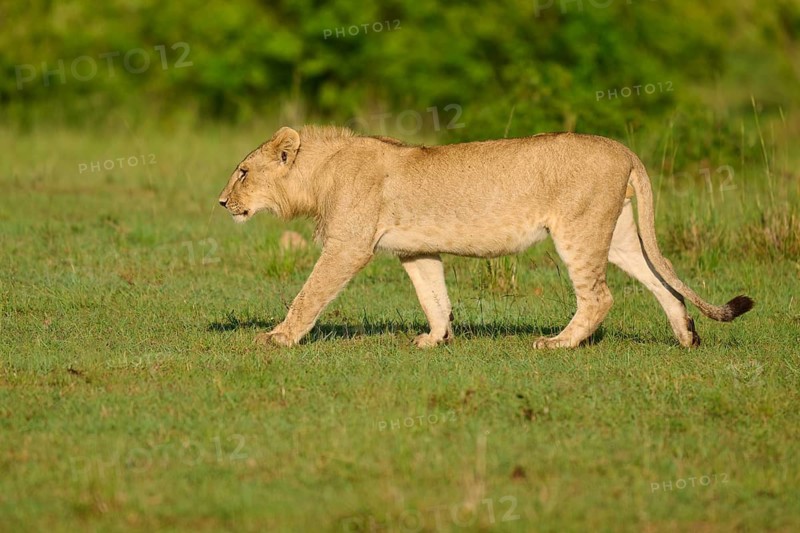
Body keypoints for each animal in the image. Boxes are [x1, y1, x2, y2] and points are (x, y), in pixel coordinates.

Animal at [218, 126, 753, 349]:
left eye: (242, 172)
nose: (222, 203)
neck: (317, 175)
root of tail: (623, 148)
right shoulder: (416, 249)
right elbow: (434, 297)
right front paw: (436, 340)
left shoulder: (349, 246)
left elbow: (309, 294)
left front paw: (278, 337)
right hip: (618, 235)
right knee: (664, 282)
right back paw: (687, 338)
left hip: (577, 231)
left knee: (599, 296)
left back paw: (558, 344)